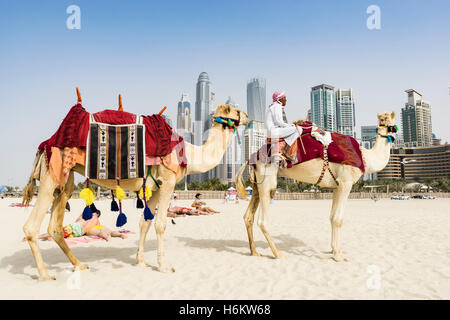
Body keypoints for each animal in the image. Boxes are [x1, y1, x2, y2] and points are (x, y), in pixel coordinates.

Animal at [22, 97, 250, 280]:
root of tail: (47, 143)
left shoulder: (155, 187)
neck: (188, 154)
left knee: (54, 225)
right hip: (54, 170)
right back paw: (45, 274)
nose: (248, 117)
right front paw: (164, 266)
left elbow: (144, 222)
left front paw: (141, 261)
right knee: (31, 226)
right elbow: (160, 224)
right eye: (236, 111)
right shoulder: (168, 181)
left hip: (64, 178)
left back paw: (79, 265)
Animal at [236, 111, 398, 262]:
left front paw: (334, 250)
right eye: (382, 122)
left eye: (389, 122)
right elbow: (338, 219)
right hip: (268, 178)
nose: (386, 132)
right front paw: (338, 256)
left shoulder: (337, 186)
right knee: (263, 220)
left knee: (248, 216)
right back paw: (278, 254)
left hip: (257, 184)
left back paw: (254, 252)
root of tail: (252, 157)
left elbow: (332, 217)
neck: (366, 158)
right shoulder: (346, 182)